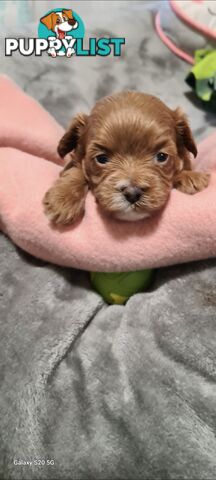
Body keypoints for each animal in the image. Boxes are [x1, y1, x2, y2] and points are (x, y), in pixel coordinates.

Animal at [43, 92, 210, 225]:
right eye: (101, 158)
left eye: (161, 156)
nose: (132, 193)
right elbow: (75, 170)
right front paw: (62, 199)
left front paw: (191, 177)